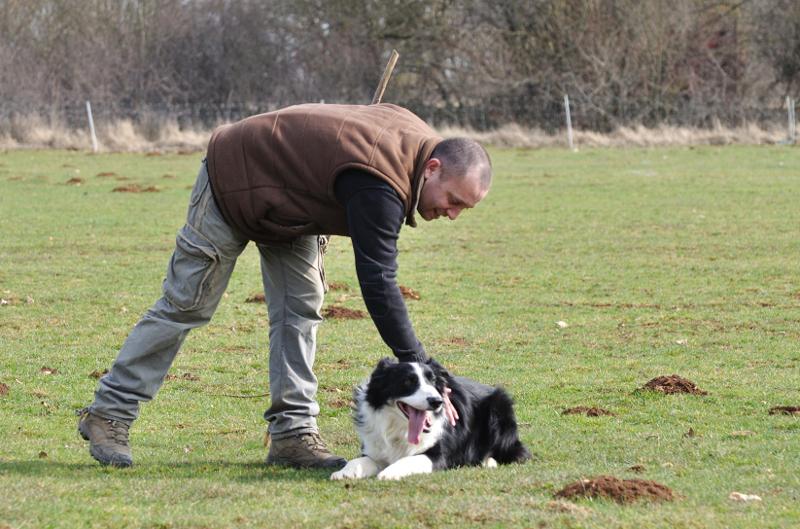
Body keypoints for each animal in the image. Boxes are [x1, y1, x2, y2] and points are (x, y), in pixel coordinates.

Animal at [332, 356, 532, 480]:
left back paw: (488, 460)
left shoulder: (438, 455)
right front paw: (343, 472)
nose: (437, 401)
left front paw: (389, 472)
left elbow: (410, 459)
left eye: (432, 381)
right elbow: (359, 460)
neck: (399, 428)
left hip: (499, 409)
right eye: (408, 381)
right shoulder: (375, 448)